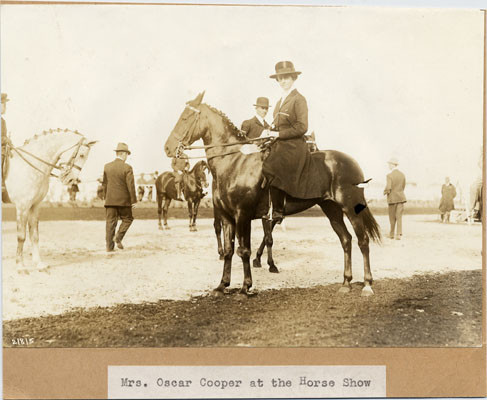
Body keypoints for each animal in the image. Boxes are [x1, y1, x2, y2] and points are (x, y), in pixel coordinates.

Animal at [4, 128, 97, 272]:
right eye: (82, 155)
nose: (71, 179)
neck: (31, 165)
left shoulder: (35, 206)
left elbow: (34, 236)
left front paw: (39, 264)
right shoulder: (22, 207)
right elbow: (21, 236)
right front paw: (20, 266)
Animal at [166, 91, 384, 296]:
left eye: (185, 117)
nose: (168, 148)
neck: (235, 163)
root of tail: (353, 163)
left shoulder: (243, 215)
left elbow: (244, 250)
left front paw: (245, 288)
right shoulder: (228, 217)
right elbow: (229, 251)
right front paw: (222, 286)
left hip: (351, 208)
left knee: (363, 241)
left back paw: (367, 285)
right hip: (331, 209)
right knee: (346, 240)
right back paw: (346, 283)